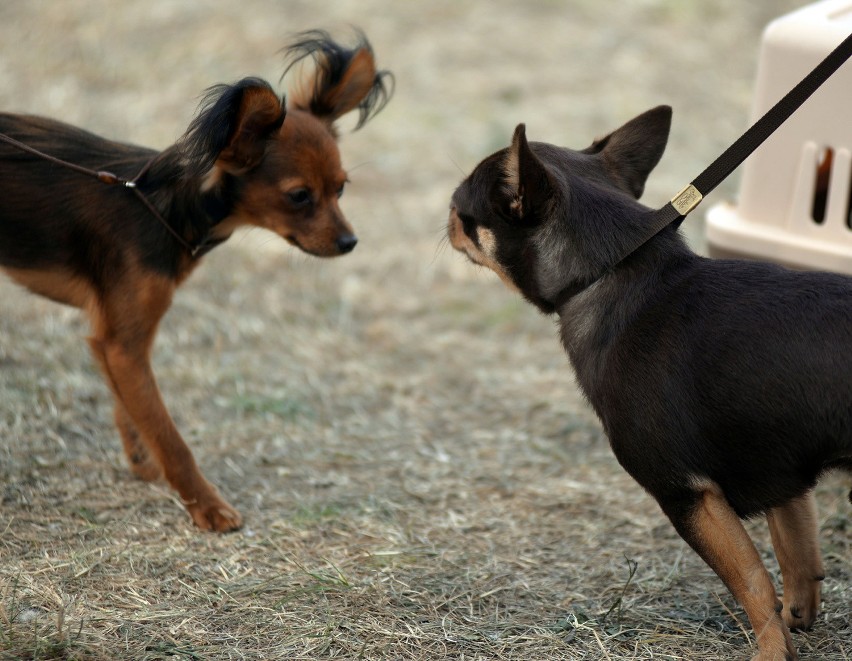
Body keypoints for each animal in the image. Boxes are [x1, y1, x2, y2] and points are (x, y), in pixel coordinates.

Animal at [0, 33, 392, 532]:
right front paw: (206, 506)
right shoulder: (122, 344)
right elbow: (171, 435)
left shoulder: (123, 340)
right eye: (299, 196)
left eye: (341, 189)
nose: (349, 242)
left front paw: (141, 458)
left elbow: (132, 407)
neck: (164, 207)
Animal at [450, 105, 848, 656]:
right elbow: (797, 557)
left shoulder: (687, 495)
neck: (606, 272)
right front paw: (796, 622)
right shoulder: (785, 477)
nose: (444, 217)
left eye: (461, 210)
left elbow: (752, 581)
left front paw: (770, 650)